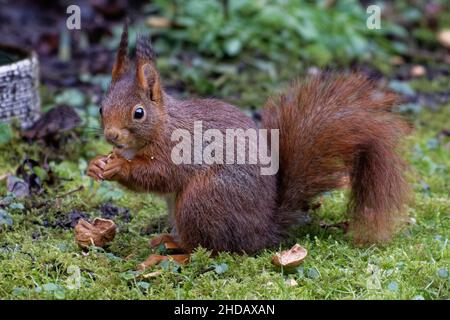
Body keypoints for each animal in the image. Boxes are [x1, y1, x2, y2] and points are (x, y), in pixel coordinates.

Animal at [86, 25, 410, 255]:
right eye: (101, 108)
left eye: (138, 113)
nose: (111, 135)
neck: (163, 125)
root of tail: (262, 232)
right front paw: (96, 164)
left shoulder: (180, 149)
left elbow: (159, 175)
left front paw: (119, 167)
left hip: (201, 200)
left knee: (207, 248)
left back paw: (172, 247)